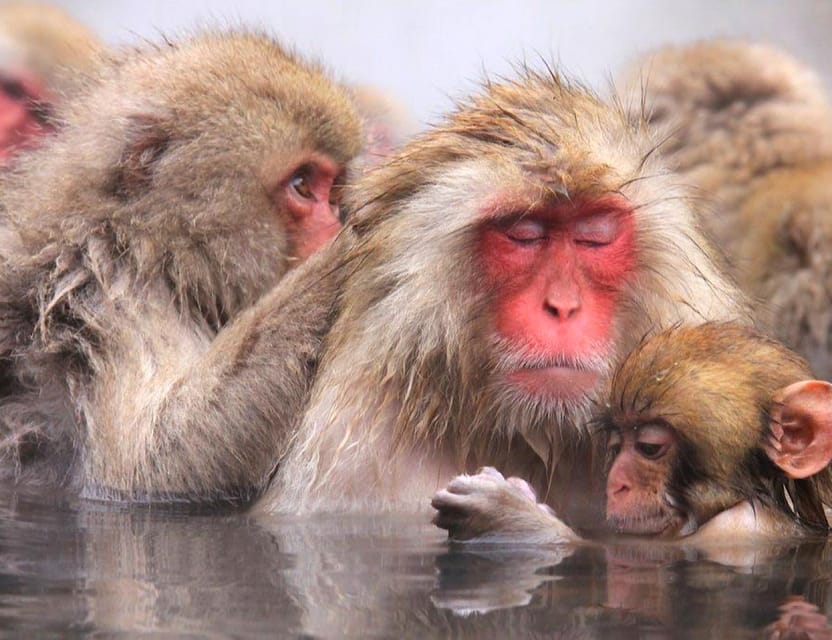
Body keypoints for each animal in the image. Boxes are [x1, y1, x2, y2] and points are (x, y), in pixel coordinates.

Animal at [0, 28, 360, 500]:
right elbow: (151, 469)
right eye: (302, 185)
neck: (153, 250)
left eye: (332, 189)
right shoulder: (115, 305)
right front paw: (341, 256)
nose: (333, 223)